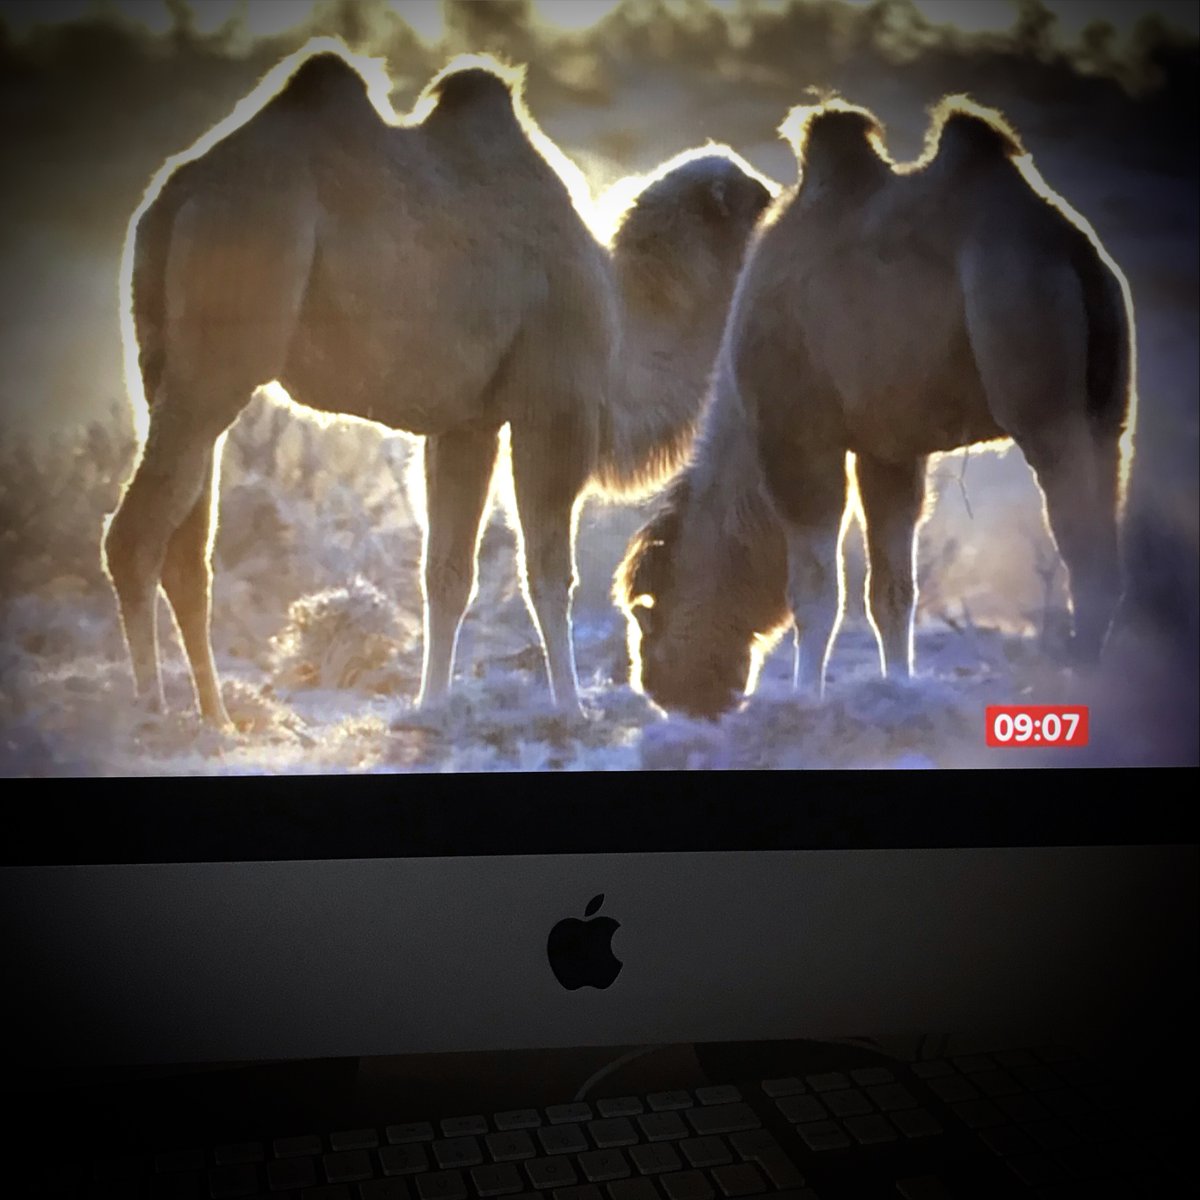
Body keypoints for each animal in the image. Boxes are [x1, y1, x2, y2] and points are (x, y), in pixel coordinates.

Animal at [102, 42, 773, 725]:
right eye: (758, 204)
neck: (620, 315)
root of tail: (175, 198)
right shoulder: (556, 407)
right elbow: (549, 575)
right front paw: (571, 710)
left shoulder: (466, 424)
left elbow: (447, 575)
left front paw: (431, 706)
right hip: (224, 346)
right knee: (136, 535)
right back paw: (153, 712)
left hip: (161, 366)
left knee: (189, 551)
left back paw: (217, 718)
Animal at [616, 95, 1137, 718]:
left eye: (648, 627)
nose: (667, 695)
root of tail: (1072, 251)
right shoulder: (889, 450)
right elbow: (891, 590)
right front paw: (899, 684)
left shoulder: (797, 437)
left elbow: (815, 592)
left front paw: (805, 697)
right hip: (1108, 410)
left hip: (1036, 375)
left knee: (1082, 549)